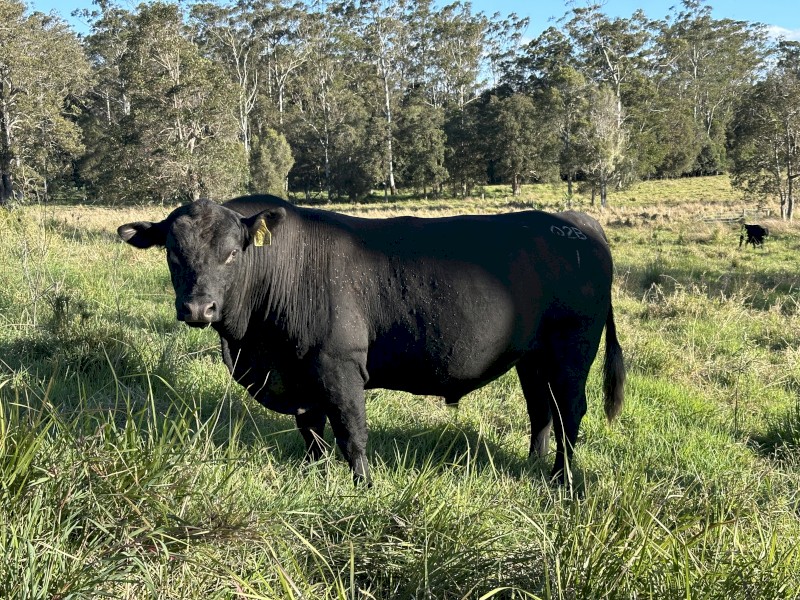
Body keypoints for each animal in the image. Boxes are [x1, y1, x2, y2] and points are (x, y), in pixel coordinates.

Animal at [117, 195, 625, 485]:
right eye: (172, 252)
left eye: (230, 254)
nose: (197, 308)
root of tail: (575, 223)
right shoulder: (300, 373)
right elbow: (311, 431)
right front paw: (315, 474)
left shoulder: (337, 366)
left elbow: (351, 433)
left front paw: (362, 486)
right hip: (531, 357)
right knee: (541, 409)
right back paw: (535, 464)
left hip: (572, 349)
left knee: (570, 412)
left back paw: (561, 479)